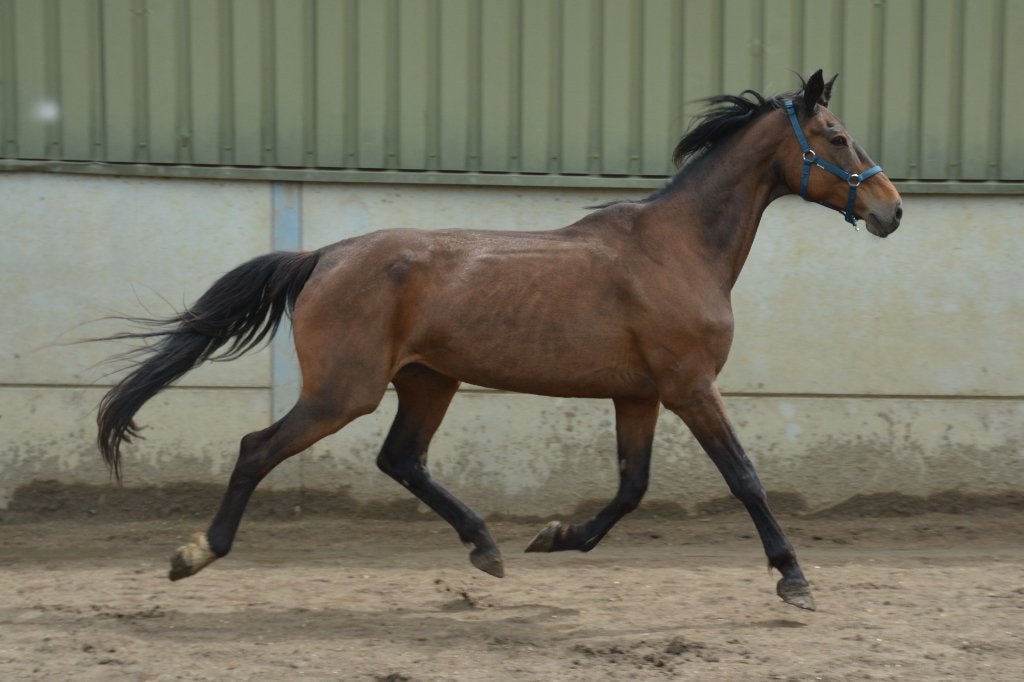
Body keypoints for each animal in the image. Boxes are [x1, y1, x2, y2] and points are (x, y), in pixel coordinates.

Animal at [97, 70, 902, 611]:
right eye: (836, 136)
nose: (891, 210)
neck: (678, 249)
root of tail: (322, 256)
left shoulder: (639, 395)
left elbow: (632, 487)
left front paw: (555, 536)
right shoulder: (690, 386)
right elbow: (743, 477)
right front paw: (794, 578)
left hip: (428, 380)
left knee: (401, 459)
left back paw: (485, 547)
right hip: (344, 391)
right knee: (257, 449)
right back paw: (195, 554)